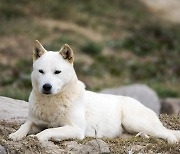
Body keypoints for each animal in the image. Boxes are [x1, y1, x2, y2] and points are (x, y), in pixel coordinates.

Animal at [9, 40, 179, 143]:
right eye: (41, 71)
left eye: (57, 72)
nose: (46, 87)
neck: (51, 103)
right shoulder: (34, 121)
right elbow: (25, 125)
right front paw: (15, 135)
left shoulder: (75, 130)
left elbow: (48, 131)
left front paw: (37, 137)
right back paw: (142, 137)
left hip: (133, 122)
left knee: (167, 133)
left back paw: (171, 140)